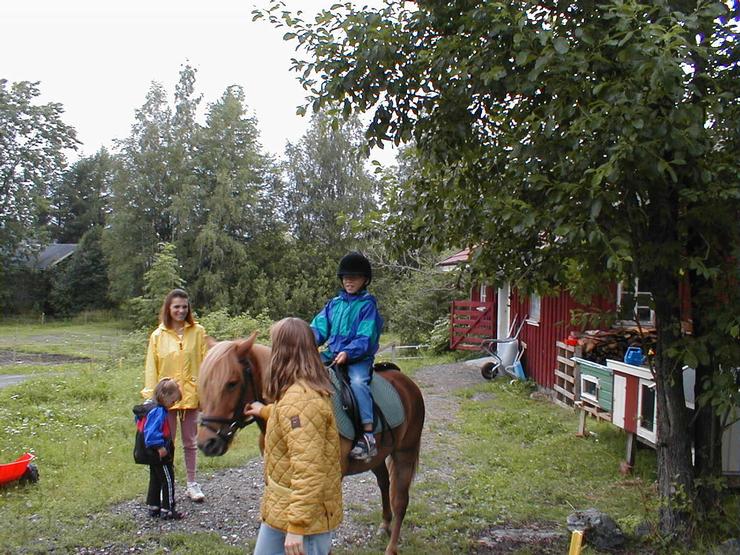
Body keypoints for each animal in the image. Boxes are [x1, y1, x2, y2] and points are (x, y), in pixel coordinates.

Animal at [196, 332, 425, 555]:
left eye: (232, 383)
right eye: (203, 383)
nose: (207, 443)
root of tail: (406, 382)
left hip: (405, 452)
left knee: (400, 500)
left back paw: (391, 547)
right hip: (378, 456)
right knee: (384, 483)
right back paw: (384, 525)